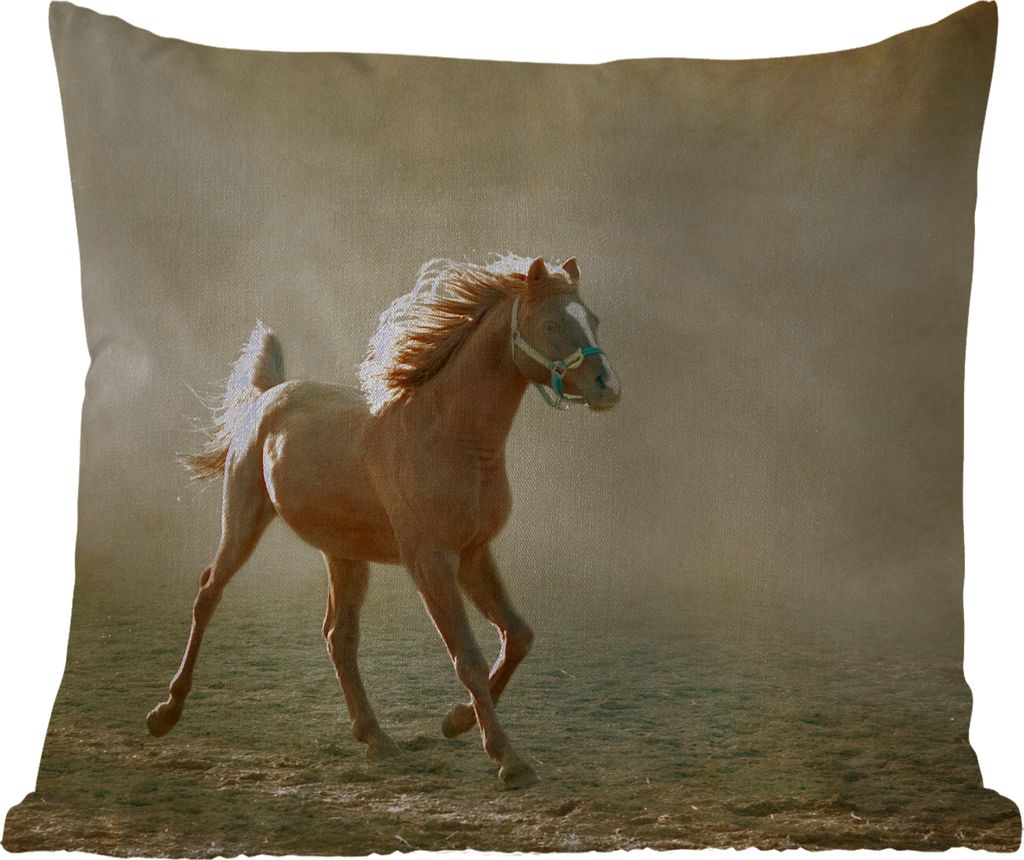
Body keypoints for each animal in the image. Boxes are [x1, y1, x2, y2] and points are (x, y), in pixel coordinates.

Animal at [145, 254, 621, 788]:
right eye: (552, 323)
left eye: (593, 319)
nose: (608, 388)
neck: (448, 437)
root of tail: (267, 397)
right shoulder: (429, 561)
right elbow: (469, 659)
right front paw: (507, 758)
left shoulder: (473, 554)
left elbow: (518, 636)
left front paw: (456, 721)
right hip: (243, 520)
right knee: (209, 592)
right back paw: (165, 713)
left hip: (345, 554)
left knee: (339, 637)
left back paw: (375, 737)